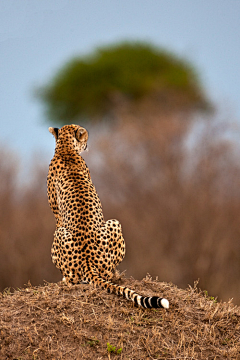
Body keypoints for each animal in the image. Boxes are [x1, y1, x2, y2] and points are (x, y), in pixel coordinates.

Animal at [47, 124, 169, 310]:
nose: (87, 145)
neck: (66, 149)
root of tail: (88, 263)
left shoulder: (56, 213)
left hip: (71, 231)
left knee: (72, 279)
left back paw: (65, 279)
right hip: (114, 225)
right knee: (108, 273)